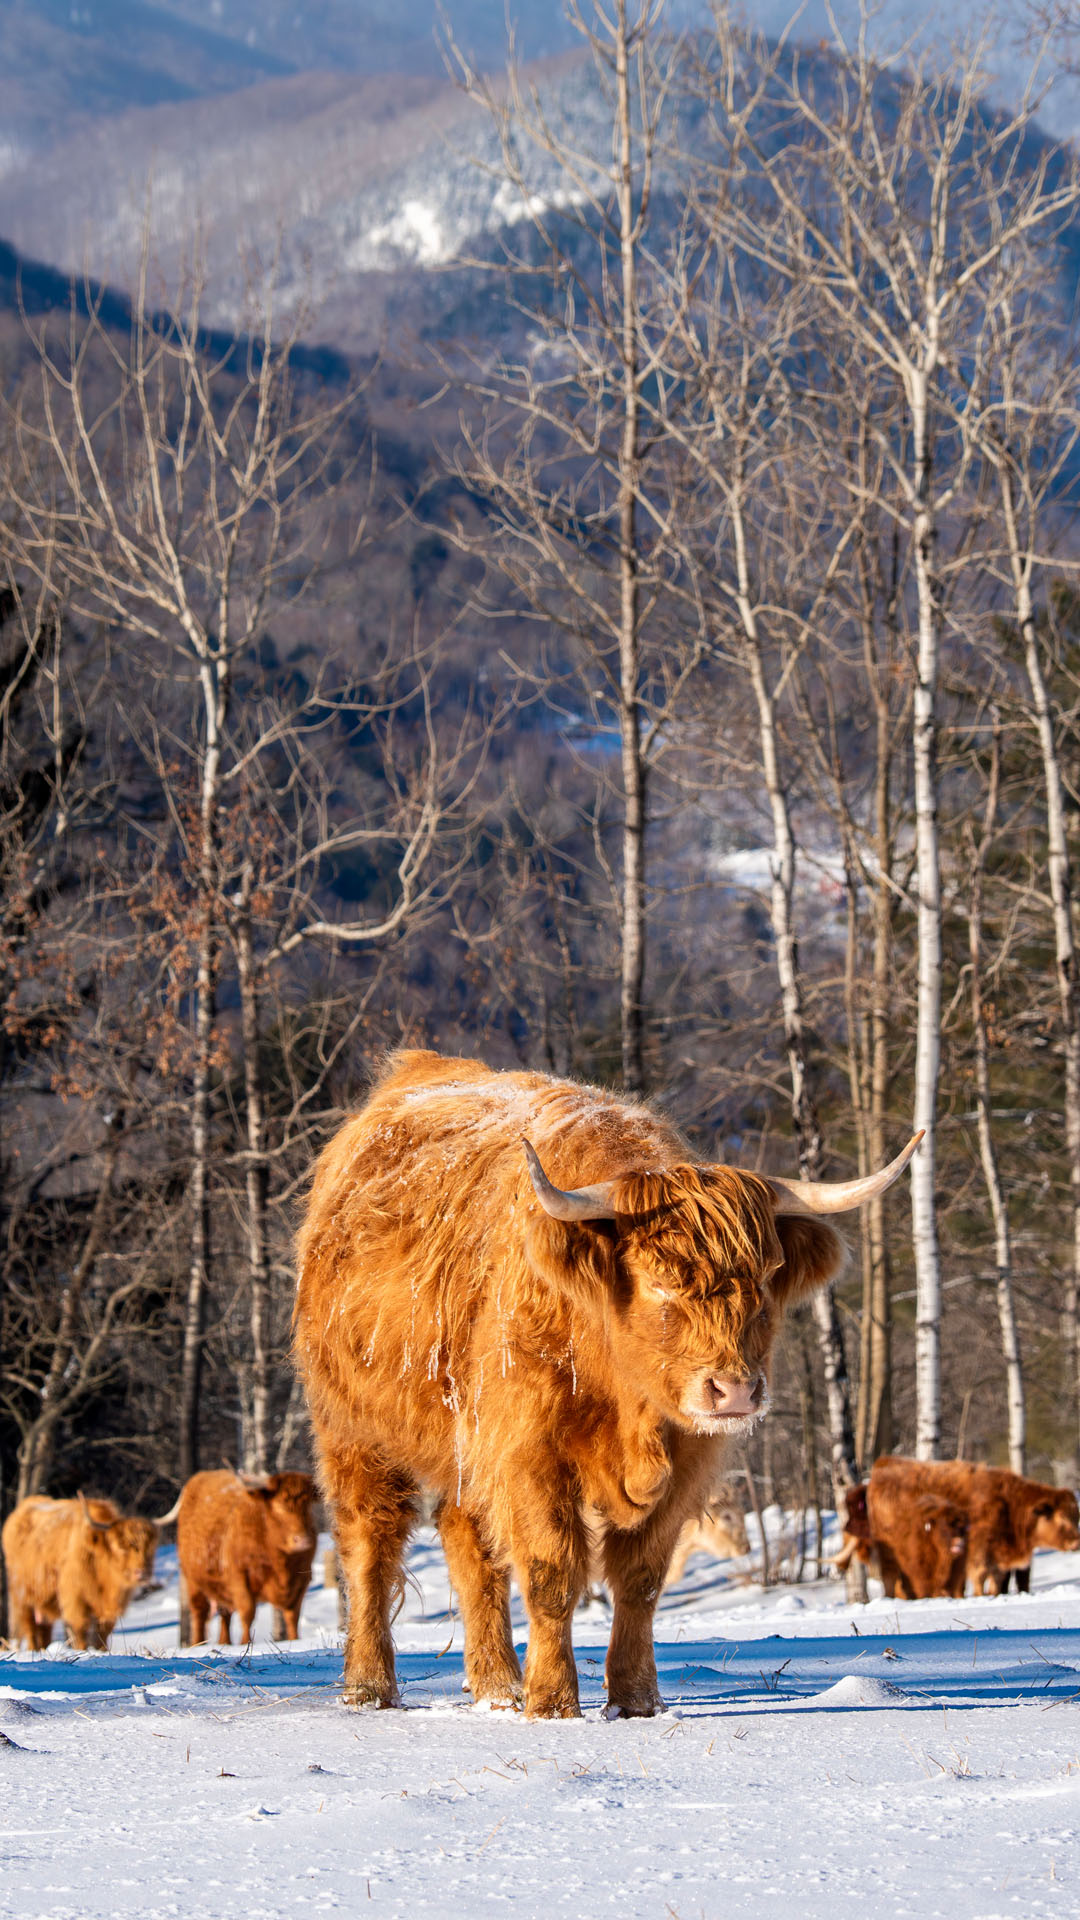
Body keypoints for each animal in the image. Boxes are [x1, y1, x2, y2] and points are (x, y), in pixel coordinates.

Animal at [0, 1482, 157, 1651]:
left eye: (150, 1548)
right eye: (119, 1546)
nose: (141, 1572)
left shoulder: (109, 1612)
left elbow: (102, 1636)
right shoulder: (74, 1600)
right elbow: (80, 1632)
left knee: (43, 1632)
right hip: (21, 1597)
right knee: (30, 1631)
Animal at [292, 1052, 914, 1728]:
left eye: (767, 1280)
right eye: (657, 1280)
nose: (734, 1392)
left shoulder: (686, 1459)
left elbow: (640, 1579)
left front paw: (636, 1700)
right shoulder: (528, 1452)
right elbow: (551, 1572)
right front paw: (553, 1703)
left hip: (468, 1449)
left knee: (470, 1544)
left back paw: (496, 1689)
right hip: (353, 1428)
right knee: (369, 1542)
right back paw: (370, 1687)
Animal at [834, 1459, 1076, 1597]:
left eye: (1074, 1516)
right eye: (1062, 1517)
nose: (1076, 1542)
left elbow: (993, 1584)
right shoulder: (978, 1556)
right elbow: (979, 1582)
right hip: (894, 1562)